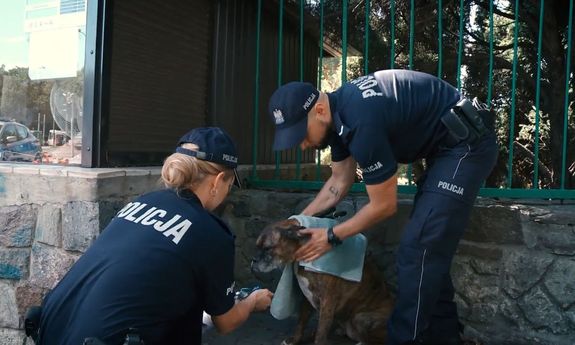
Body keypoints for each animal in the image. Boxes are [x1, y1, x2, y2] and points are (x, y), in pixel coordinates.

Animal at [253, 219, 396, 344]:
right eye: (257, 247)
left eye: (267, 248)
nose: (254, 260)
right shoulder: (307, 297)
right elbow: (301, 322)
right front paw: (295, 340)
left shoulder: (328, 301)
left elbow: (321, 332)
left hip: (361, 318)